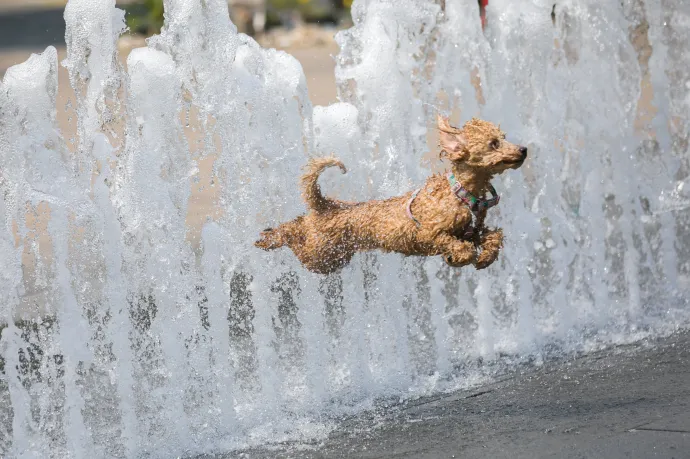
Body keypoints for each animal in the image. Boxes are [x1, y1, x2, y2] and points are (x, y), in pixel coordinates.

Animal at [255, 115, 524, 274]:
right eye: (493, 144)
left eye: (503, 138)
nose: (524, 150)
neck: (460, 193)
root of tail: (325, 205)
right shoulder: (429, 233)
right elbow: (453, 244)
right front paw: (459, 257)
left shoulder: (472, 231)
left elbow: (493, 236)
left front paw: (485, 257)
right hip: (319, 256)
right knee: (292, 234)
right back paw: (268, 238)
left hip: (332, 255)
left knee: (299, 222)